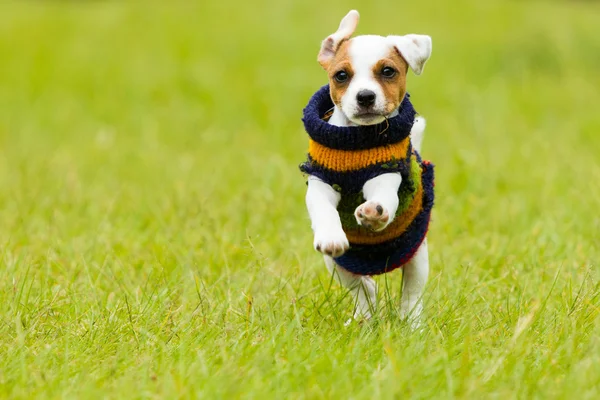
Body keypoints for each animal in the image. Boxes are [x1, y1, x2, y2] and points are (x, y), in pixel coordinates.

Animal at [300, 10, 436, 324]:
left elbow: (384, 196)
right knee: (364, 291)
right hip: (338, 265)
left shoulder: (384, 174)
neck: (357, 143)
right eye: (341, 75)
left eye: (387, 71)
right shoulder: (320, 183)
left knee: (411, 296)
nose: (365, 96)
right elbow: (323, 208)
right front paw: (331, 234)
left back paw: (412, 325)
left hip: (417, 257)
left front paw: (374, 211)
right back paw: (362, 320)